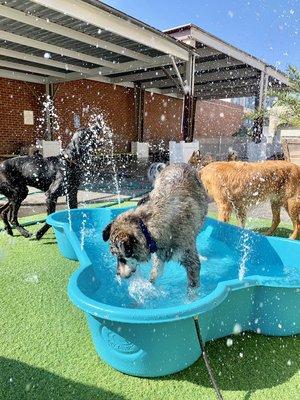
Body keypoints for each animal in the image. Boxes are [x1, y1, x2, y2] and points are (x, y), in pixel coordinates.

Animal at [102, 163, 207, 296]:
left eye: (120, 257)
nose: (118, 274)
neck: (147, 227)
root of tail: (178, 163)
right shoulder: (158, 255)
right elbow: (154, 275)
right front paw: (149, 287)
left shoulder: (191, 263)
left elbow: (192, 291)